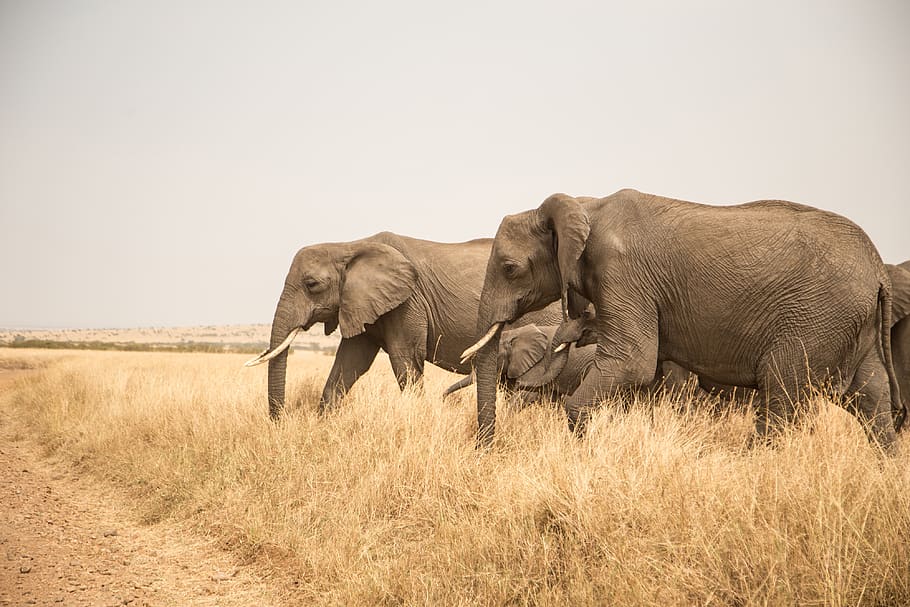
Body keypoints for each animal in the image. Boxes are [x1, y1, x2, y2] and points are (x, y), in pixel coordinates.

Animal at [245, 231, 560, 419]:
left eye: (311, 284)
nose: (279, 423)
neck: (350, 245)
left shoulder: (408, 302)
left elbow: (405, 359)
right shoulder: (362, 303)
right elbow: (350, 362)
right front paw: (324, 424)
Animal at [463, 189, 903, 448]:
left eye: (509, 269)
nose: (488, 450)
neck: (585, 205)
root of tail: (878, 269)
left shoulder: (623, 274)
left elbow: (633, 362)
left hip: (815, 319)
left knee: (782, 395)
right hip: (850, 323)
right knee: (871, 399)